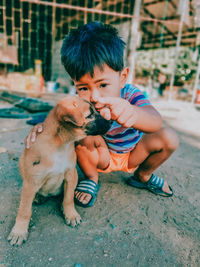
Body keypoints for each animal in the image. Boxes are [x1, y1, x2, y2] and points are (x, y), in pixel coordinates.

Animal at [7, 96, 111, 247]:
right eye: (89, 115)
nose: (111, 122)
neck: (60, 144)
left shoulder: (71, 175)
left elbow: (68, 199)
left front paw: (70, 214)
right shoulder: (31, 182)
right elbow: (24, 210)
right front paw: (19, 232)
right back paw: (37, 197)